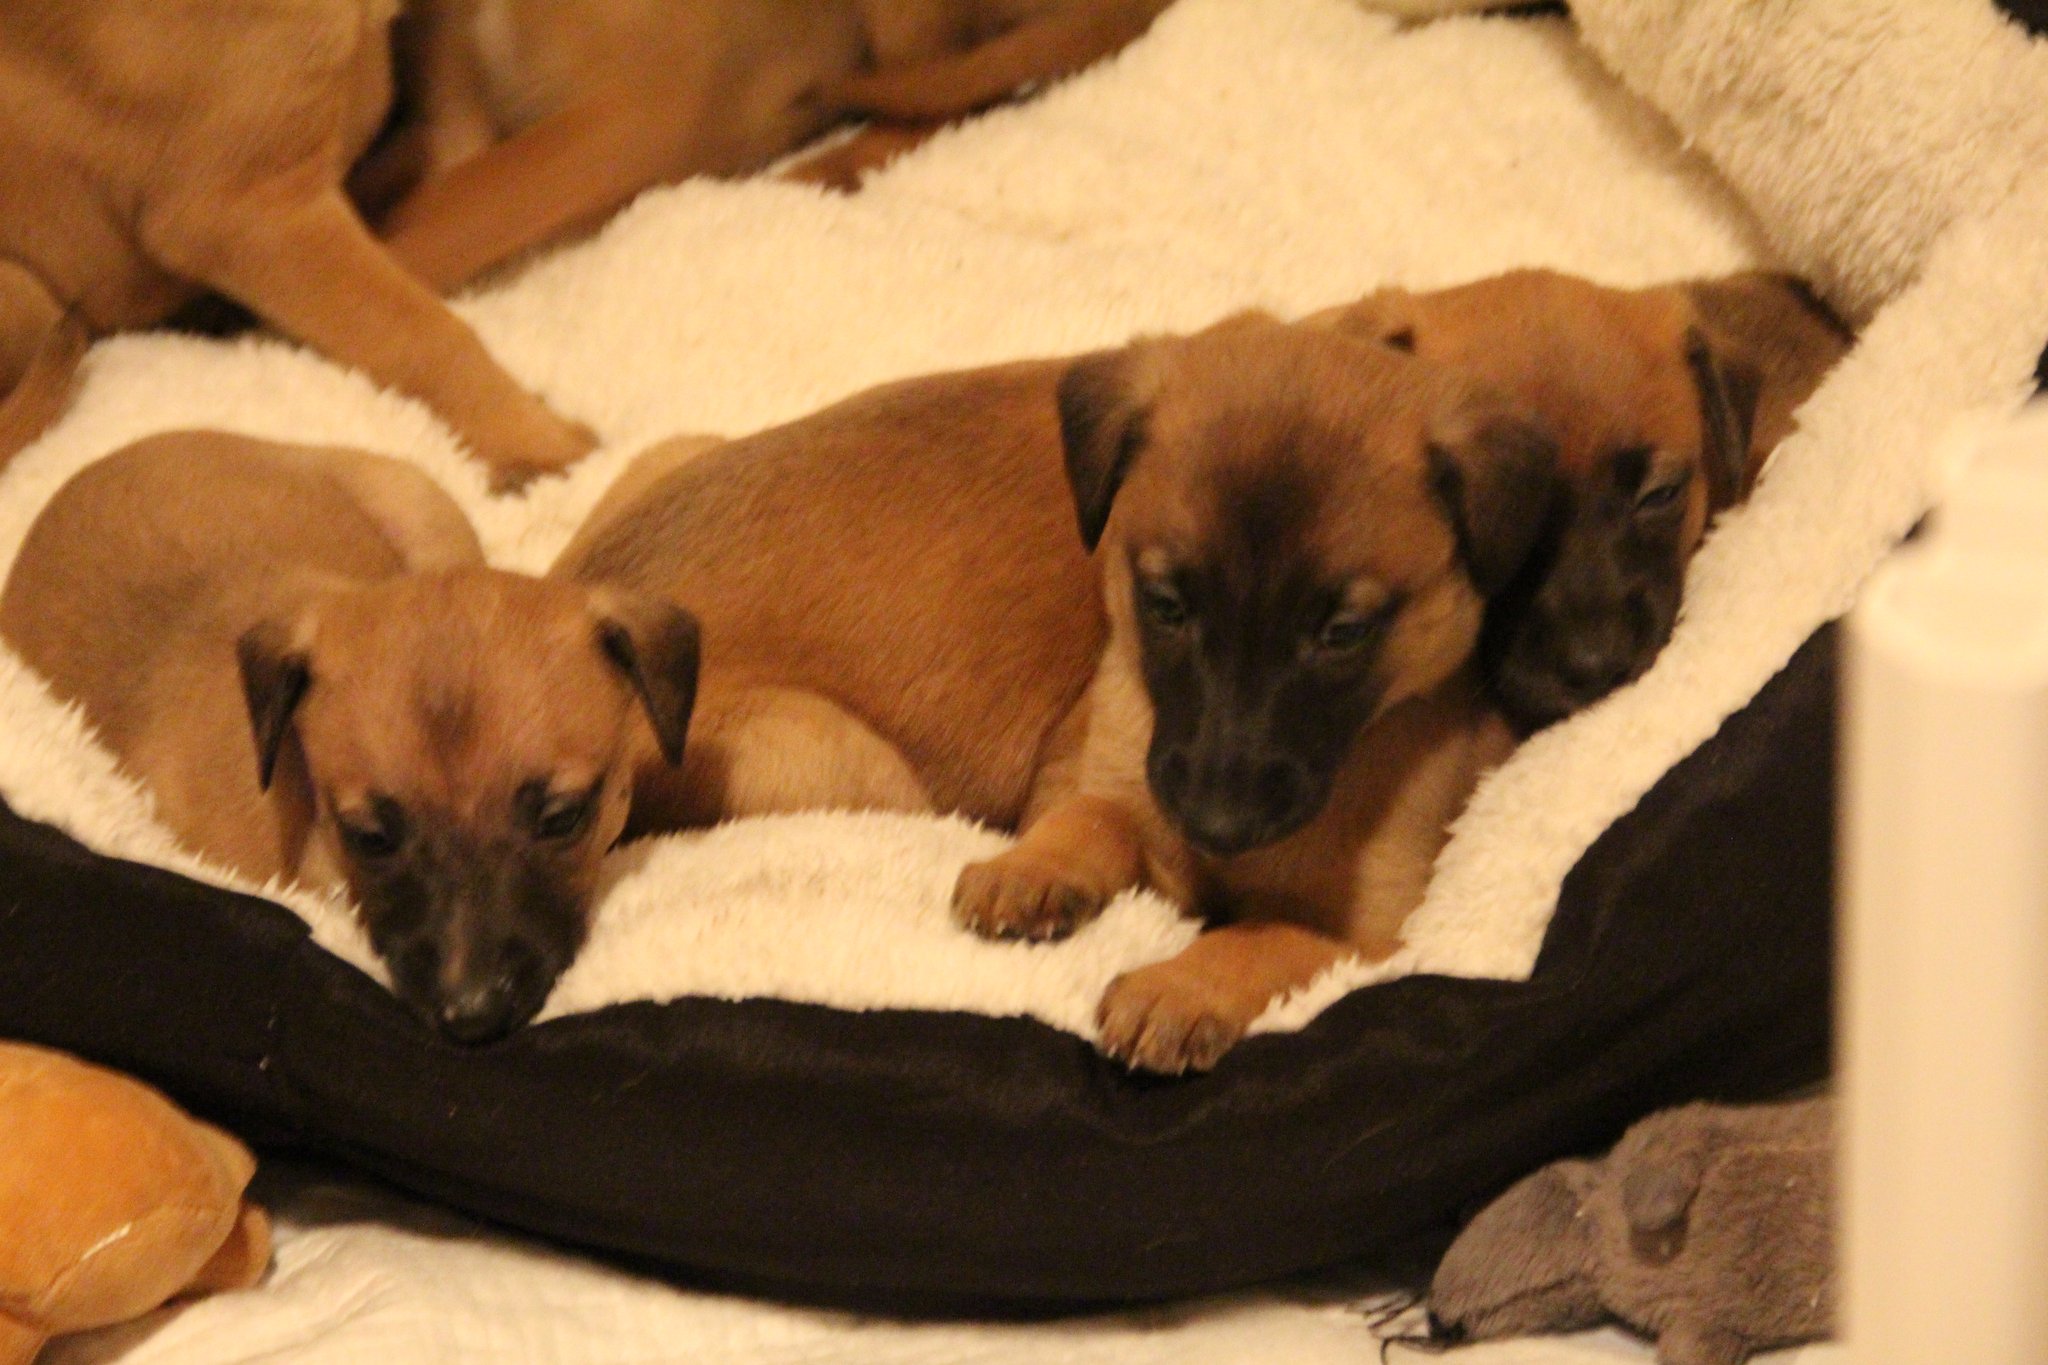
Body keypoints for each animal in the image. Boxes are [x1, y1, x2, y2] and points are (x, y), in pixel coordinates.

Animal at [372, 0, 1178, 290]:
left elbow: (443, 225)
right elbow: (439, 195)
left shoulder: (638, 112)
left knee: (945, 104)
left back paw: (805, 168)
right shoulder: (458, 110)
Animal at [558, 313, 1554, 1073]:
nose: (1216, 822)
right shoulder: (1108, 767)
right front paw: (1034, 873)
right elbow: (1093, 817)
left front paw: (1177, 986)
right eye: (1166, 604)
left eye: (1344, 632)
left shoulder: (1373, 932)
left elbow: (1263, 937)